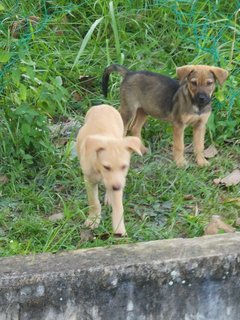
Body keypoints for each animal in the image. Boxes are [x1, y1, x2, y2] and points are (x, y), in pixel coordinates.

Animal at [76, 104, 142, 235]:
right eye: (106, 167)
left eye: (124, 166)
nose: (116, 187)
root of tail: (103, 105)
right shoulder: (89, 180)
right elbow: (94, 202)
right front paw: (93, 219)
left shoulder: (119, 182)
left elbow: (119, 207)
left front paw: (119, 229)